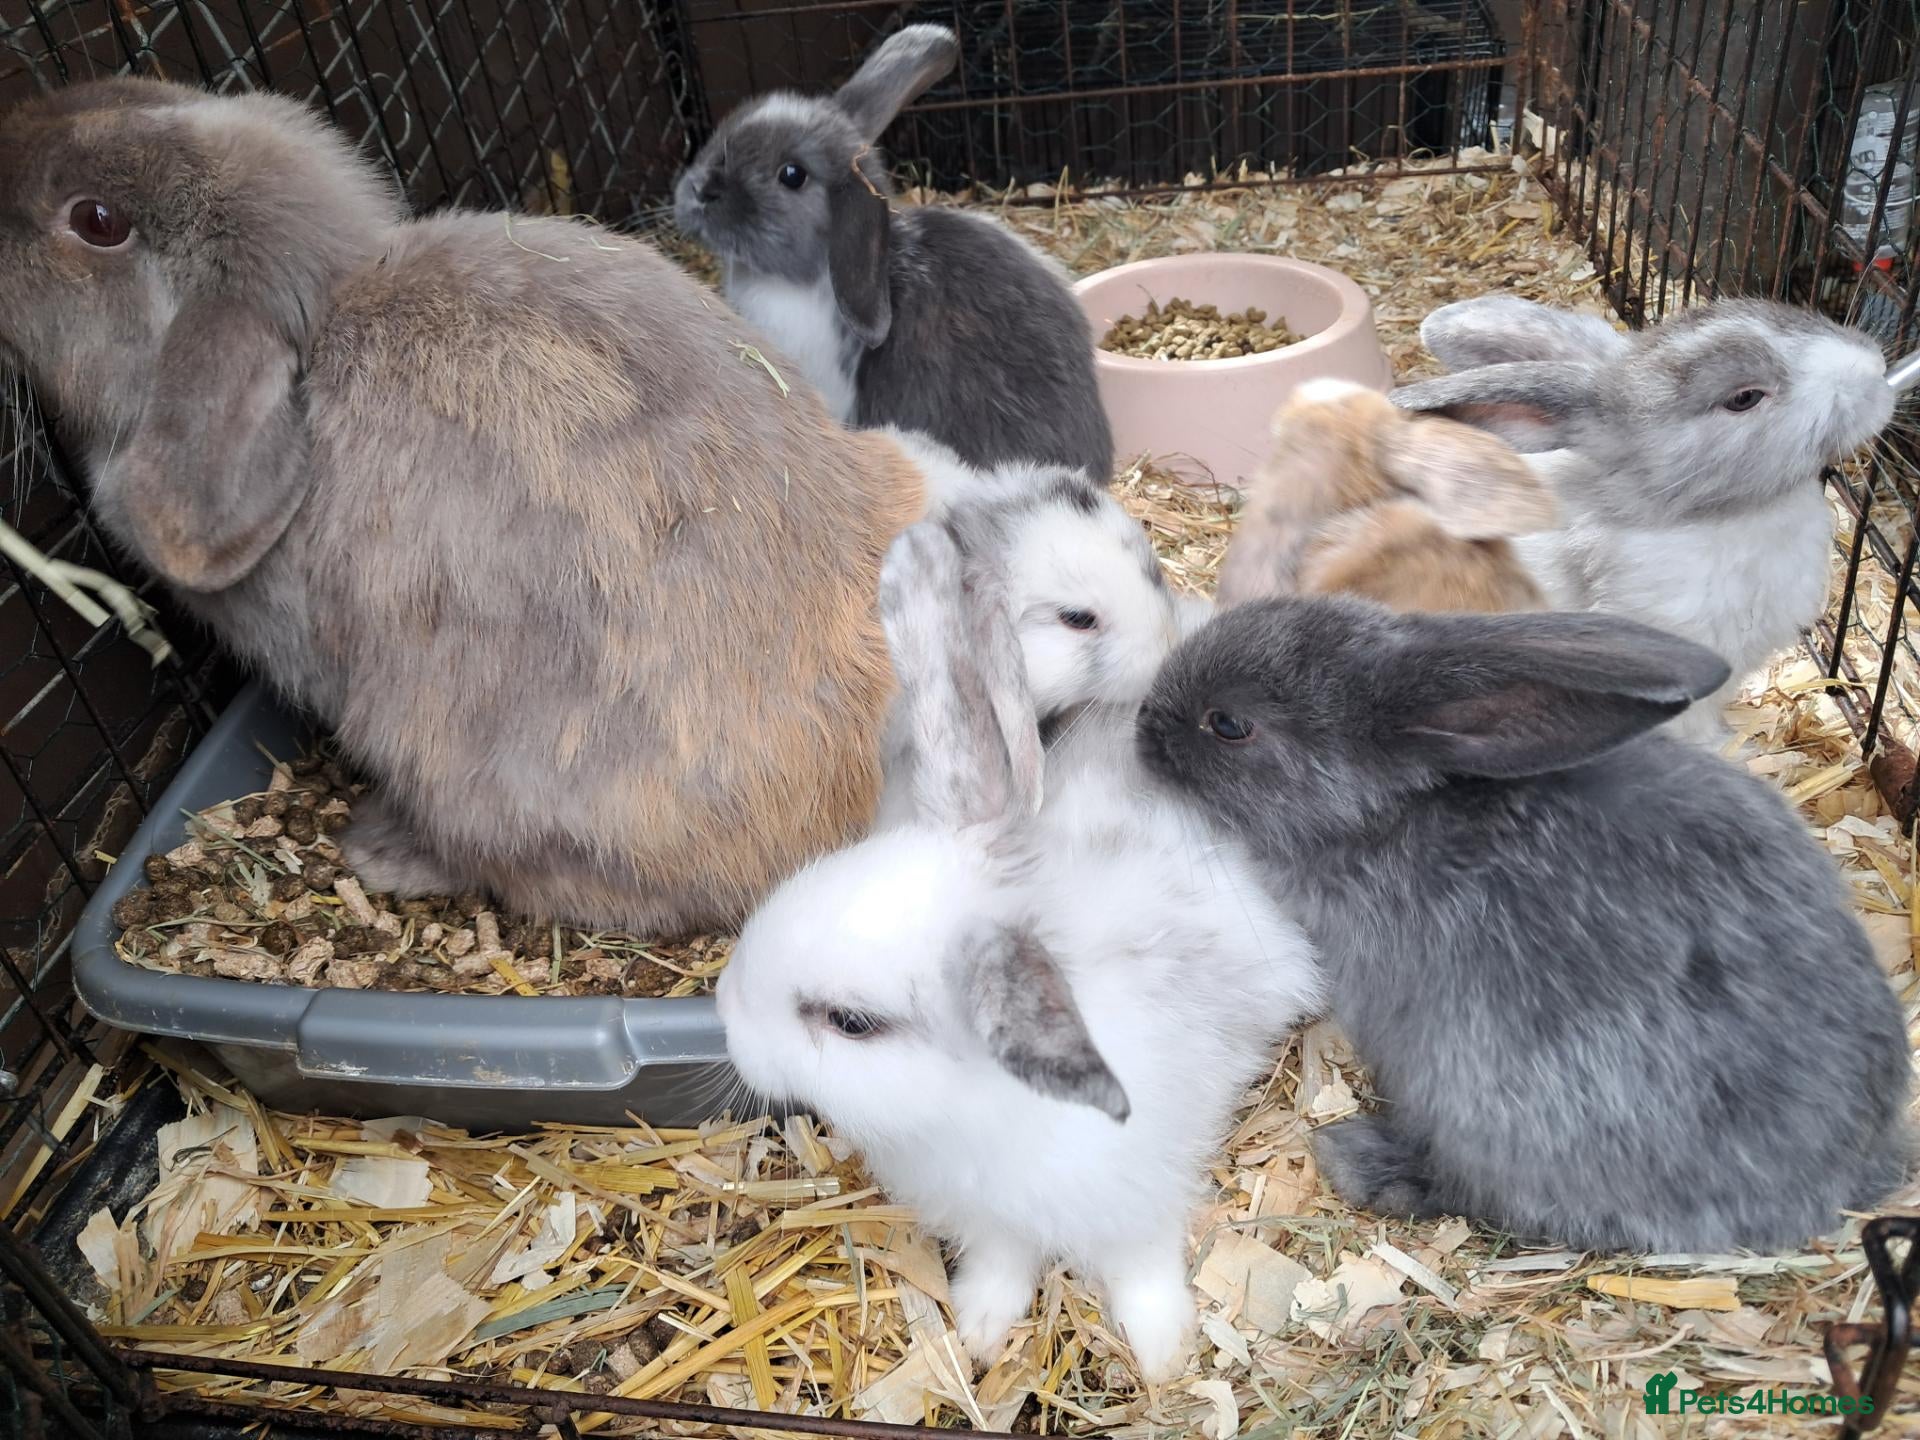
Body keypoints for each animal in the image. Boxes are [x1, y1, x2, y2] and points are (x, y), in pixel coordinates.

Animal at [718, 519, 1321, 1382]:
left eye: (851, 1022)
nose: (724, 1017)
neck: (974, 1113)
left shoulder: (1136, 1194)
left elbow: (1141, 1269)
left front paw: (1162, 1352)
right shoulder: (992, 1219)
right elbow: (1003, 1263)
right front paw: (977, 1328)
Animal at [1137, 594, 1913, 1254]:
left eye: (1229, 724)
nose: (1143, 725)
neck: (1389, 811)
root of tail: (1852, 1178)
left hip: (1495, 1107)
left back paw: (1364, 1161)